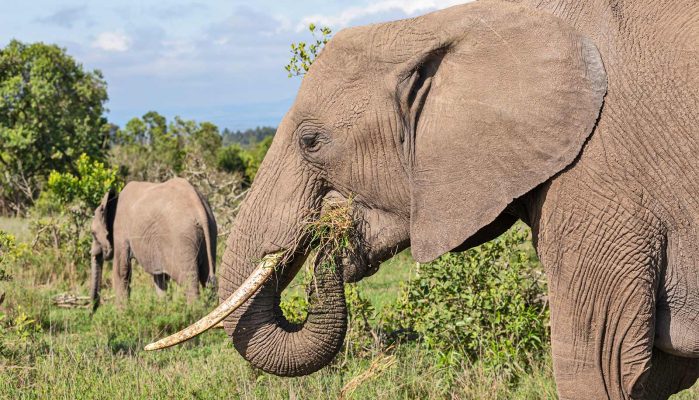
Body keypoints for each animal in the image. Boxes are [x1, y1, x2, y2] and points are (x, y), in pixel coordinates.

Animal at [90, 177, 217, 310]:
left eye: (93, 233)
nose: (92, 311)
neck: (111, 201)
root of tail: (198, 205)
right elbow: (160, 277)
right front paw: (163, 309)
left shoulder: (120, 231)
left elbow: (121, 270)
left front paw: (122, 313)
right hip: (210, 231)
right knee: (208, 280)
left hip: (181, 239)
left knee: (188, 282)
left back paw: (194, 312)